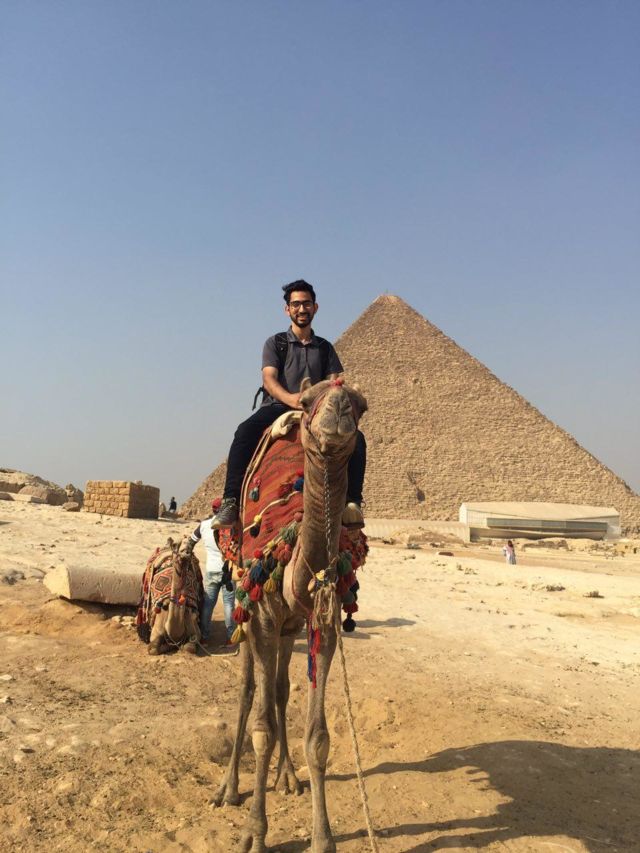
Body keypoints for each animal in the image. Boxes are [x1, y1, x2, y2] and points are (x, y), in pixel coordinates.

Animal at [214, 376, 367, 853]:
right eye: (306, 400)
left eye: (361, 404)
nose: (337, 410)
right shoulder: (262, 615)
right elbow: (261, 727)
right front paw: (254, 834)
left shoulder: (322, 619)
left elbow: (317, 738)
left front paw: (323, 838)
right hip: (245, 607)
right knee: (248, 691)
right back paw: (229, 789)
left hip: (288, 628)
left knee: (280, 688)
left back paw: (287, 778)